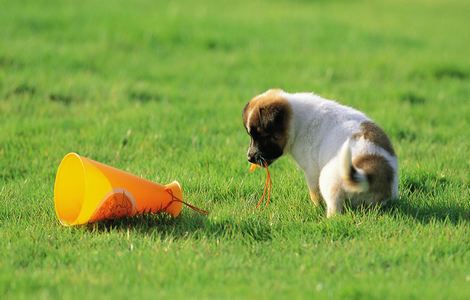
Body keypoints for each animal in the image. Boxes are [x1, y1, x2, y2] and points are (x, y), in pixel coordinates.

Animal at [244, 88, 398, 217]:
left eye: (262, 136)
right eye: (251, 136)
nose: (249, 158)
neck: (297, 121)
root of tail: (372, 174)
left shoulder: (311, 171)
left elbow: (314, 193)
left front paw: (316, 207)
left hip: (328, 179)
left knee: (334, 208)